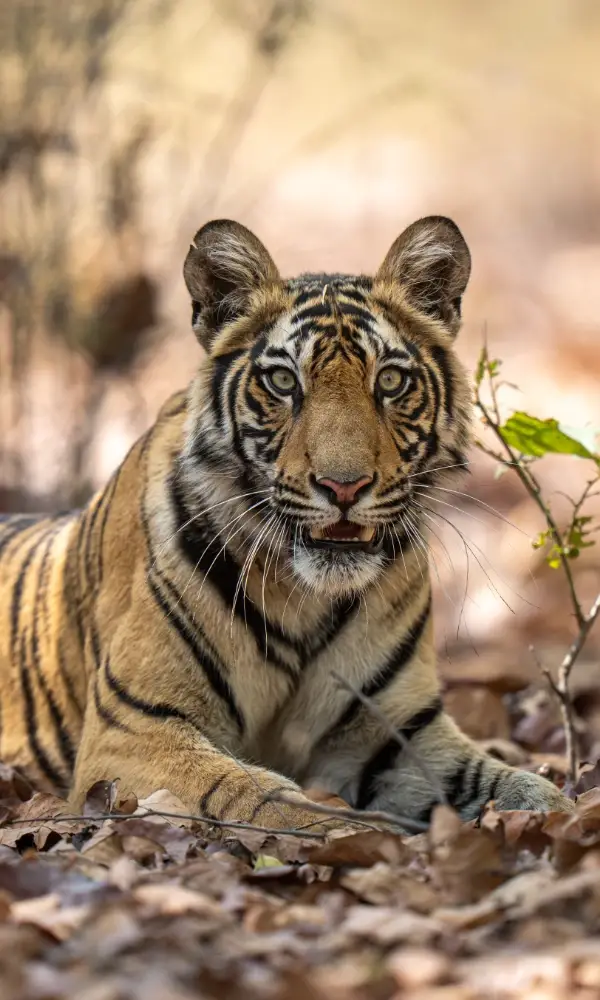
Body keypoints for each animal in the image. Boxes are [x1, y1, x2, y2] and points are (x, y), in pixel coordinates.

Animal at [0, 215, 571, 833]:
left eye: (390, 382)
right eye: (282, 382)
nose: (344, 486)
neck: (304, 598)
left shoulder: (397, 732)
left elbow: (516, 784)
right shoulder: (134, 729)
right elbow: (251, 792)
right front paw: (341, 832)